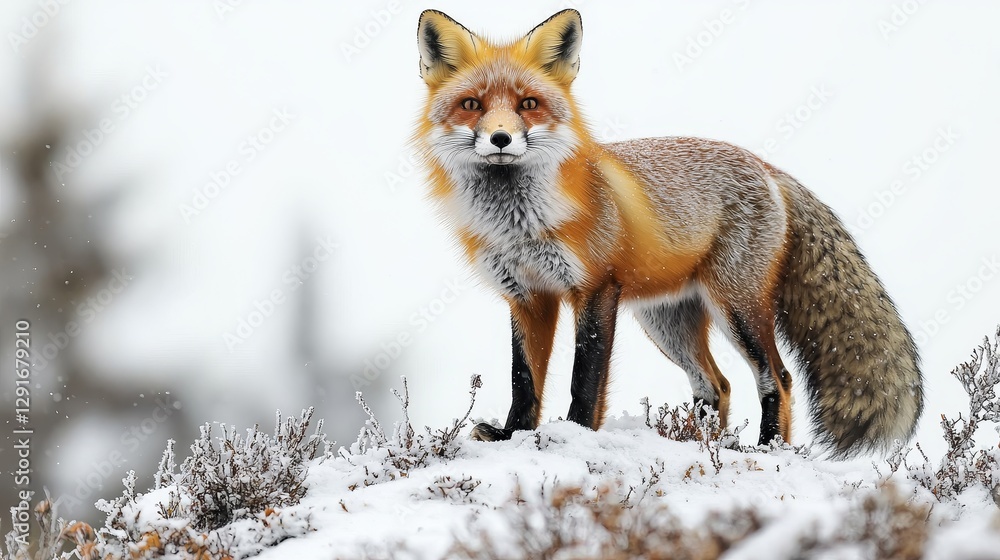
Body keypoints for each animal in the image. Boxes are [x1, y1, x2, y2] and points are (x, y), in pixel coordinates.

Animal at [413, 9, 923, 457]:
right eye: (472, 105)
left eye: (528, 104)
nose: (500, 138)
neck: (520, 224)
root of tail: (768, 168)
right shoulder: (527, 296)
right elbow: (524, 381)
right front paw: (512, 437)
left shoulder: (595, 288)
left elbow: (585, 379)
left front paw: (574, 436)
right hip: (666, 321)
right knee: (716, 385)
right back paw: (702, 444)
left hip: (736, 308)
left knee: (776, 378)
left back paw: (766, 448)